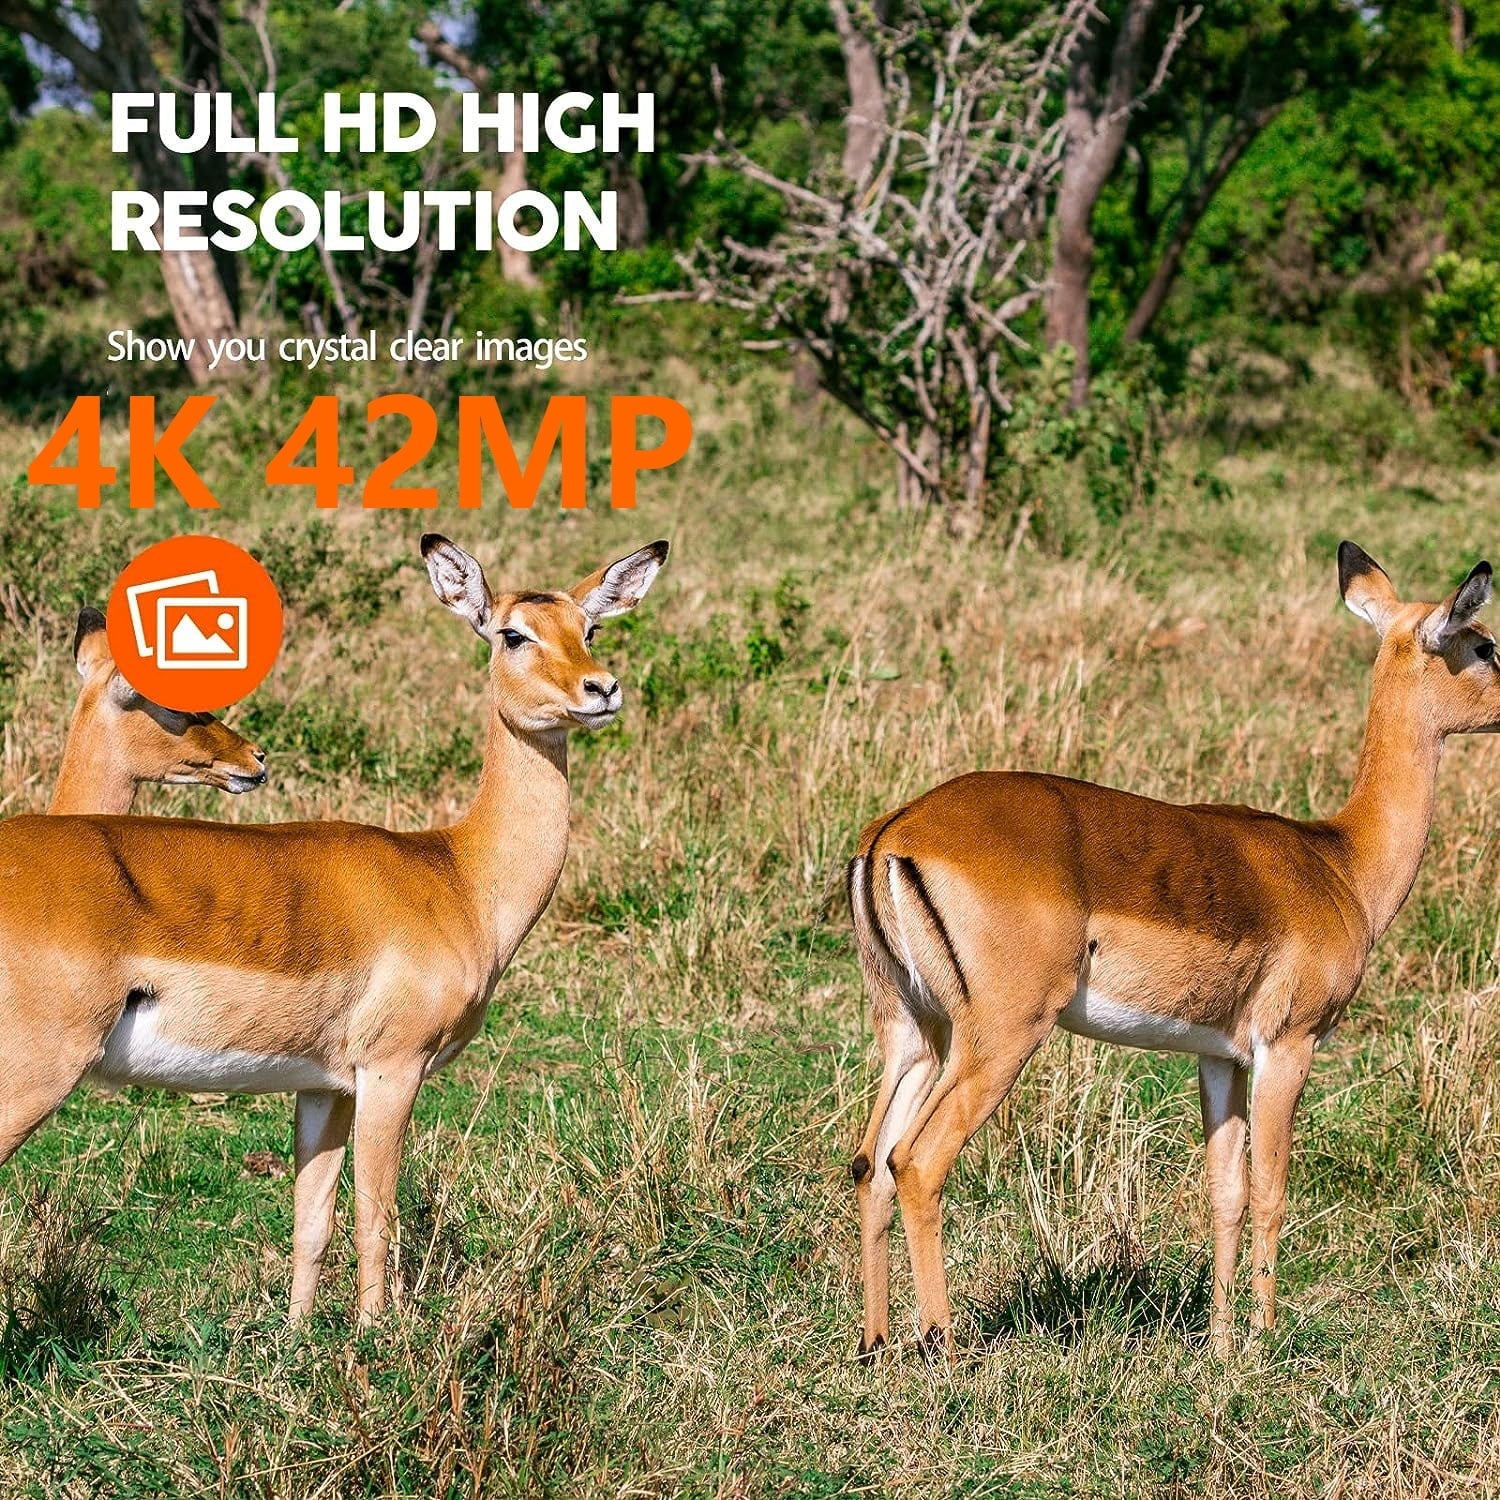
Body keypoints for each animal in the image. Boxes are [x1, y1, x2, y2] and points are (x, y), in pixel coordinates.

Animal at [847, 543, 1500, 1360]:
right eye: (1485, 646)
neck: (1340, 861)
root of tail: (895, 833)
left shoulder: (1219, 1057)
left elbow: (1225, 1191)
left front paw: (1220, 1344)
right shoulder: (1288, 1047)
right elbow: (1271, 1189)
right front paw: (1264, 1340)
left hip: (915, 1033)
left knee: (870, 1162)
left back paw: (875, 1345)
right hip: (1000, 1036)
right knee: (917, 1161)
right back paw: (942, 1347)